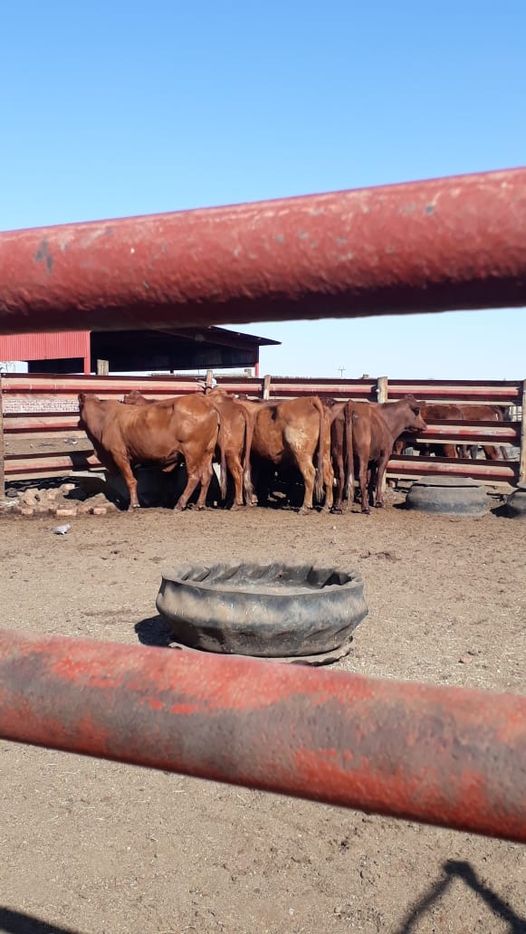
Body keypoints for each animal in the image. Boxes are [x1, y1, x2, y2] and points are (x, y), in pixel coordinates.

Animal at [78, 394, 219, 516]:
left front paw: (133, 505)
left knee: (194, 476)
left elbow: (130, 480)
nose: (78, 423)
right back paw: (199, 504)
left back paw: (180, 504)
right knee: (207, 475)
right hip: (208, 451)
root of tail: (208, 404)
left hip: (192, 451)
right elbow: (134, 480)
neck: (104, 418)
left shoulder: (119, 454)